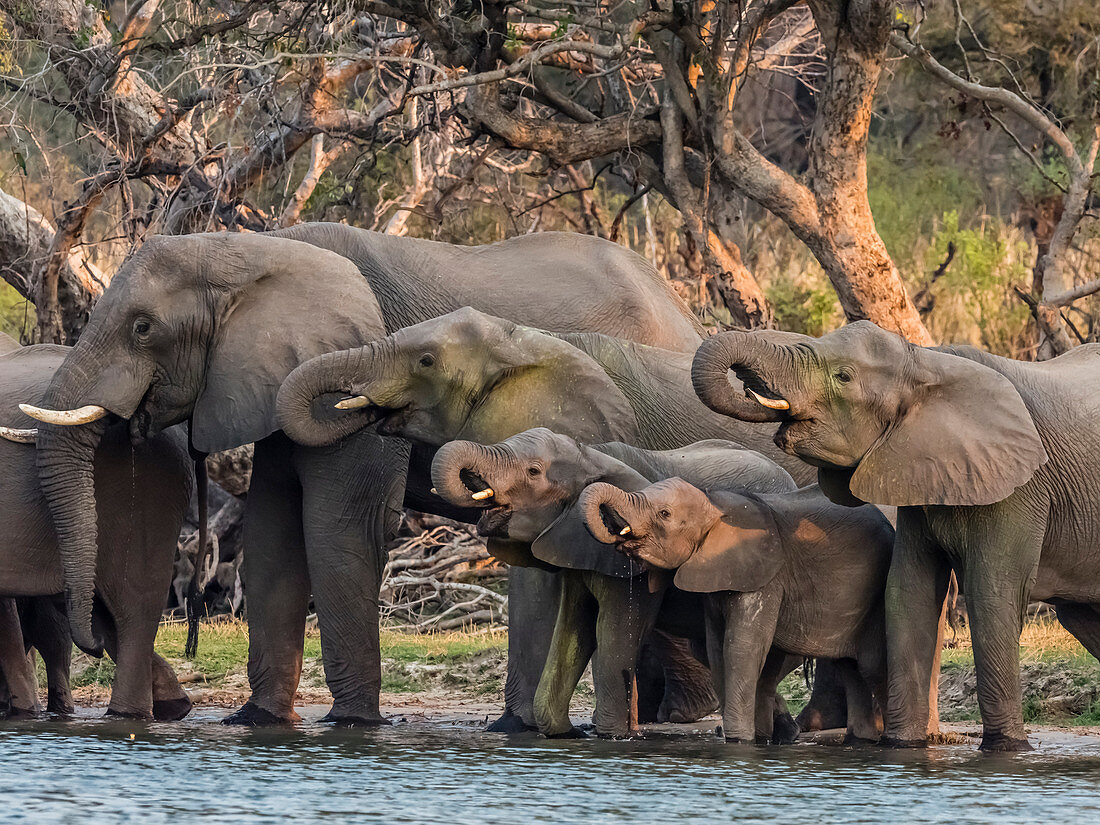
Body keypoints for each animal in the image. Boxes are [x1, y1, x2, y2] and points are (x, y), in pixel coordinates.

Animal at [23, 226, 704, 730]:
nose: (93, 635)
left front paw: (350, 724)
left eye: (143, 328)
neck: (253, 247)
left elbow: (339, 532)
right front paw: (258, 720)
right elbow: (273, 540)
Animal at [424, 429, 796, 739]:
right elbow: (573, 631)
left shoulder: (625, 564)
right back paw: (783, 731)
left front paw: (611, 736)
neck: (590, 454)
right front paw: (566, 734)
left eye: (533, 472)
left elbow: (614, 631)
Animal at [576, 477, 893, 743]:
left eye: (664, 514)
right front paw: (752, 739)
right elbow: (717, 649)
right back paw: (861, 739)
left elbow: (740, 647)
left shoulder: (763, 575)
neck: (714, 504)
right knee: (850, 668)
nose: (616, 533)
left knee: (872, 666)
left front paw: (740, 740)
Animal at [690, 319, 1100, 752]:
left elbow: (992, 594)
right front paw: (902, 746)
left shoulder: (1020, 486)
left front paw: (1006, 749)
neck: (926, 363)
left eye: (844, 377)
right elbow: (907, 593)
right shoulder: (918, 476)